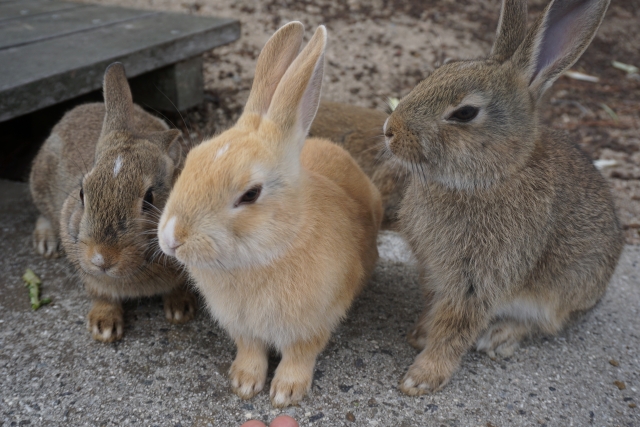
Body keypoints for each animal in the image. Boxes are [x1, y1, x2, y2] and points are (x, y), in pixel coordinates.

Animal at [28, 62, 198, 344]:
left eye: (149, 199)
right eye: (82, 193)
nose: (102, 259)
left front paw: (181, 310)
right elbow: (102, 294)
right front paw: (104, 326)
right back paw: (46, 244)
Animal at [158, 22, 382, 408]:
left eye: (250, 194)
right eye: (192, 159)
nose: (172, 238)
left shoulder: (313, 324)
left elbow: (299, 355)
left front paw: (285, 393)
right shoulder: (243, 329)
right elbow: (251, 350)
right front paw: (244, 383)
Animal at [380, 0, 624, 396]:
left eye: (465, 113)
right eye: (441, 68)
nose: (390, 131)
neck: (491, 176)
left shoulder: (479, 278)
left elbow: (457, 327)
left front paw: (422, 377)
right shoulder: (434, 271)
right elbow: (435, 307)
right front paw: (420, 334)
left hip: (562, 291)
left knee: (549, 323)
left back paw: (501, 336)